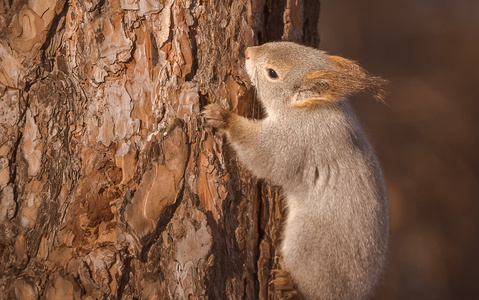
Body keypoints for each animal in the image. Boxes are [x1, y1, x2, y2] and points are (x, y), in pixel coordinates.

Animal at [202, 41, 390, 300]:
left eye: (272, 73)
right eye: (291, 43)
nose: (248, 51)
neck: (311, 108)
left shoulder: (294, 140)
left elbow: (263, 155)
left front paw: (224, 118)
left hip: (307, 249)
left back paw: (289, 285)